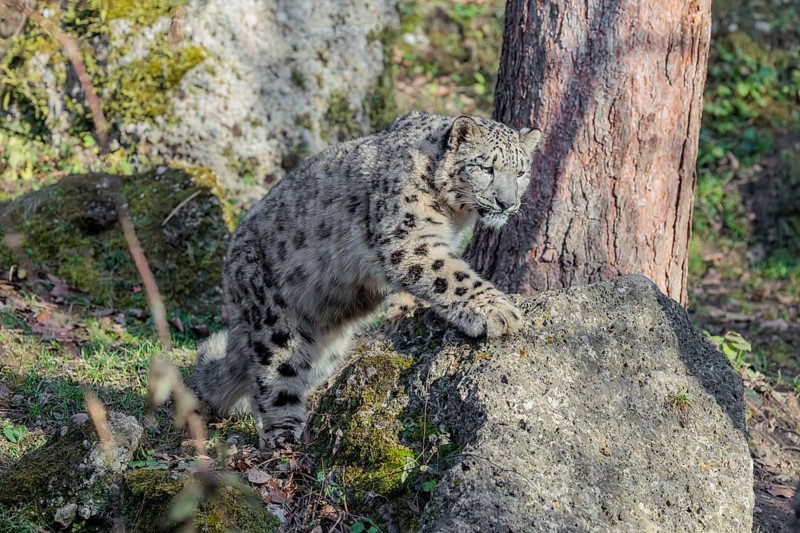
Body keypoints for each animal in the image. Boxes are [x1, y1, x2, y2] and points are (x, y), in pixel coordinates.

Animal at [194, 111, 542, 448]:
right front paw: (498, 311)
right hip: (272, 318)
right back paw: (284, 437)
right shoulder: (408, 241)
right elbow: (451, 275)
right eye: (486, 167)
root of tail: (230, 269)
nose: (507, 203)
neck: (455, 216)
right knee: (273, 376)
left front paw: (406, 310)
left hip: (326, 347)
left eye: (521, 172)